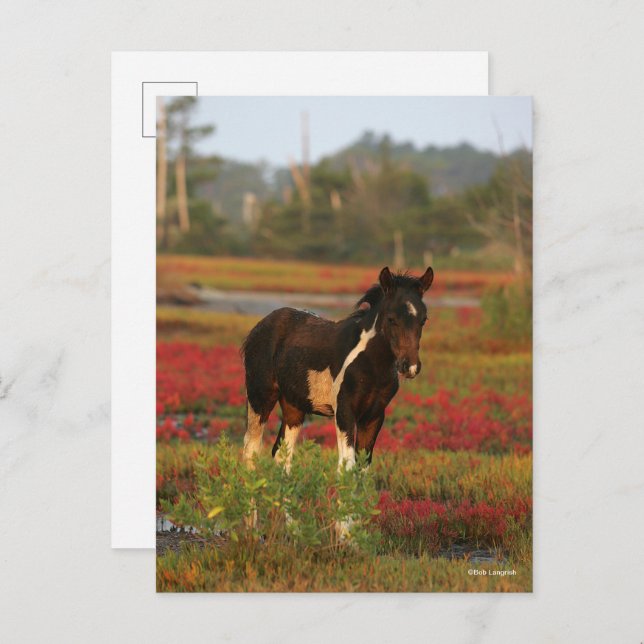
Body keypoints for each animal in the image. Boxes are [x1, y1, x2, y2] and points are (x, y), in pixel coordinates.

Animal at [240, 265, 434, 473]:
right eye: (391, 319)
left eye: (423, 320)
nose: (410, 366)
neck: (371, 365)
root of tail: (258, 327)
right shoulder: (344, 410)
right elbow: (346, 466)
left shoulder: (374, 416)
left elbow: (363, 468)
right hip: (260, 397)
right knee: (251, 448)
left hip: (294, 405)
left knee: (281, 452)